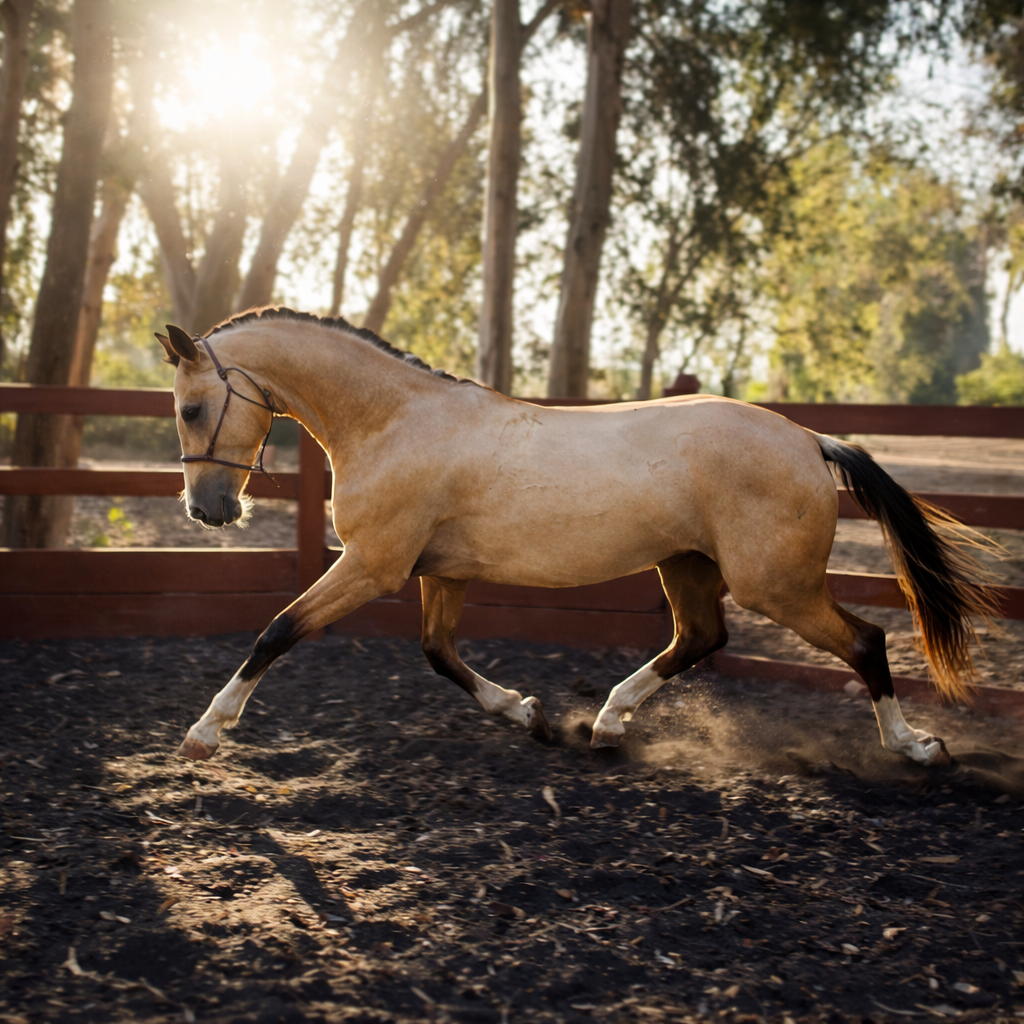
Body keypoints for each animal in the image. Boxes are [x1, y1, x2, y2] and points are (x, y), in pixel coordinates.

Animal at [156, 307, 995, 769]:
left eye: (192, 409)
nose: (207, 510)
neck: (394, 422)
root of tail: (809, 440)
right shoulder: (440, 573)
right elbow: (438, 653)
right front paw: (527, 714)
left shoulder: (372, 565)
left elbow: (277, 631)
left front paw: (204, 733)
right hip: (688, 567)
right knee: (701, 639)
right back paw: (605, 722)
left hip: (777, 586)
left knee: (865, 643)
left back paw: (918, 749)